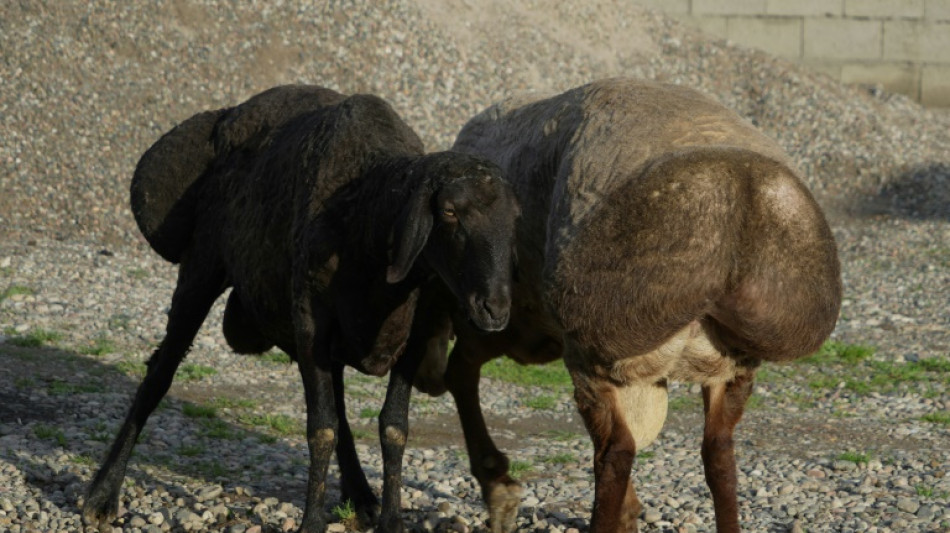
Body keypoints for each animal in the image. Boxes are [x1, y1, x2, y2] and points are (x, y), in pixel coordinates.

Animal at [83, 85, 520, 528]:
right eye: (449, 212)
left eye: (515, 217)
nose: (495, 309)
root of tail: (226, 117)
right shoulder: (311, 321)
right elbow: (321, 429)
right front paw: (312, 522)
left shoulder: (416, 328)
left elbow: (392, 428)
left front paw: (391, 521)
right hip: (203, 270)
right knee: (160, 372)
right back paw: (103, 494)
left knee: (341, 407)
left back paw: (361, 496)